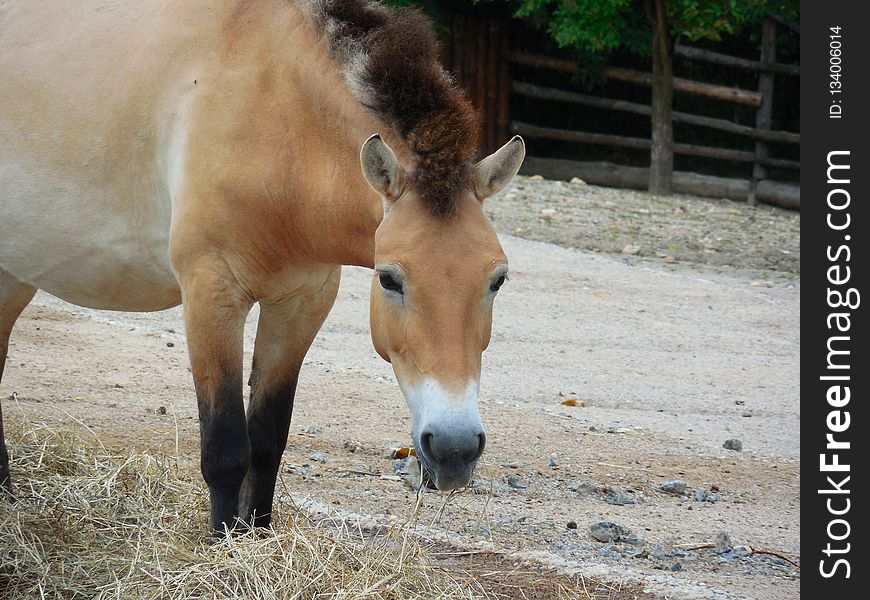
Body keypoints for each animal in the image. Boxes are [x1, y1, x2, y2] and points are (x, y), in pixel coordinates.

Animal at [0, 0, 524, 536]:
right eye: (389, 279)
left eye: (497, 280)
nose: (455, 450)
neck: (279, 123)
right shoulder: (211, 295)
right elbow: (226, 449)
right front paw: (221, 545)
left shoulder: (301, 305)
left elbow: (269, 440)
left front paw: (255, 533)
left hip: (13, 276)